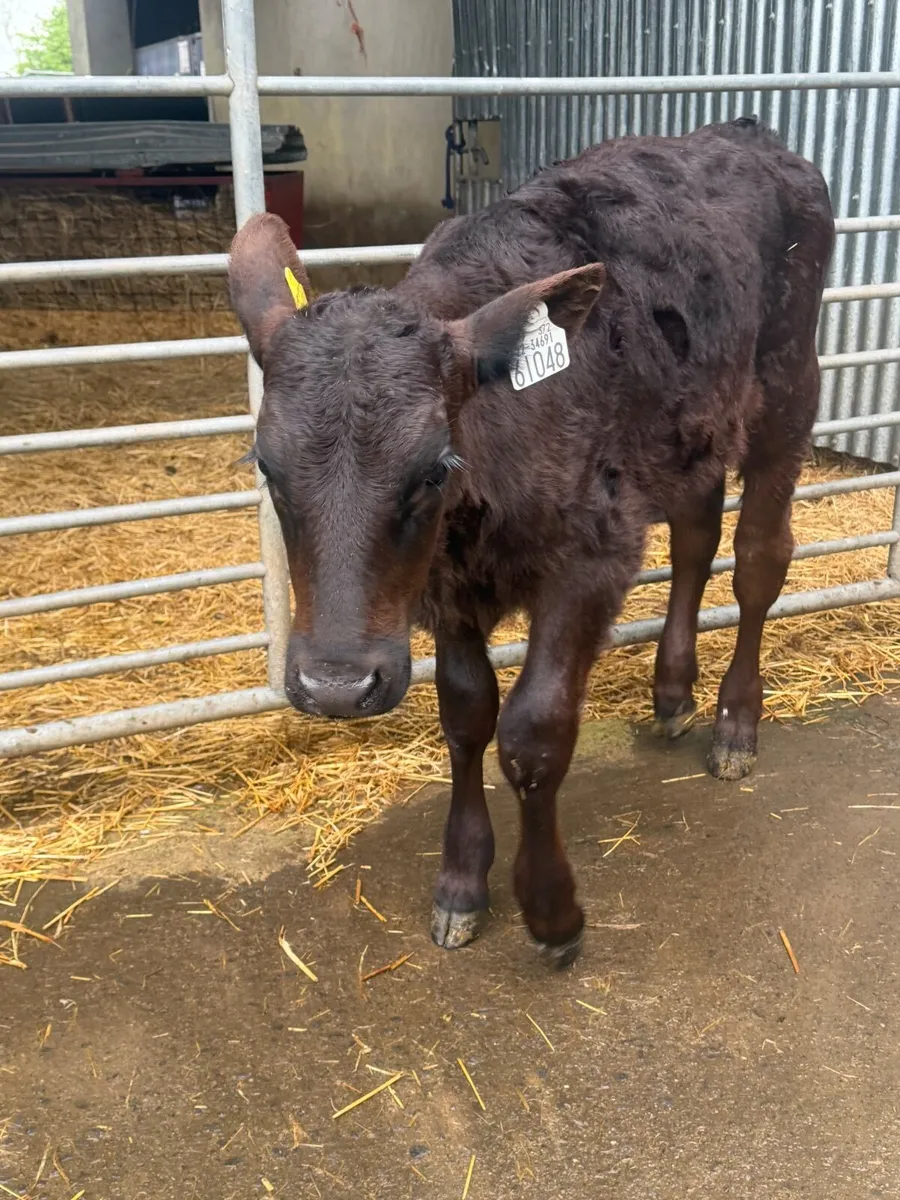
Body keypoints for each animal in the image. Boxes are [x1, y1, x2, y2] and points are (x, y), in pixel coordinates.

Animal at [228, 118, 834, 967]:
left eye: (433, 466)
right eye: (266, 464)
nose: (337, 686)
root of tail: (743, 132)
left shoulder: (589, 559)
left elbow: (532, 731)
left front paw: (552, 910)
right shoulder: (443, 582)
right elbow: (466, 715)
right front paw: (461, 881)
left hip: (787, 389)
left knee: (757, 561)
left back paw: (736, 724)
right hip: (689, 428)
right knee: (694, 539)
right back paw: (673, 690)